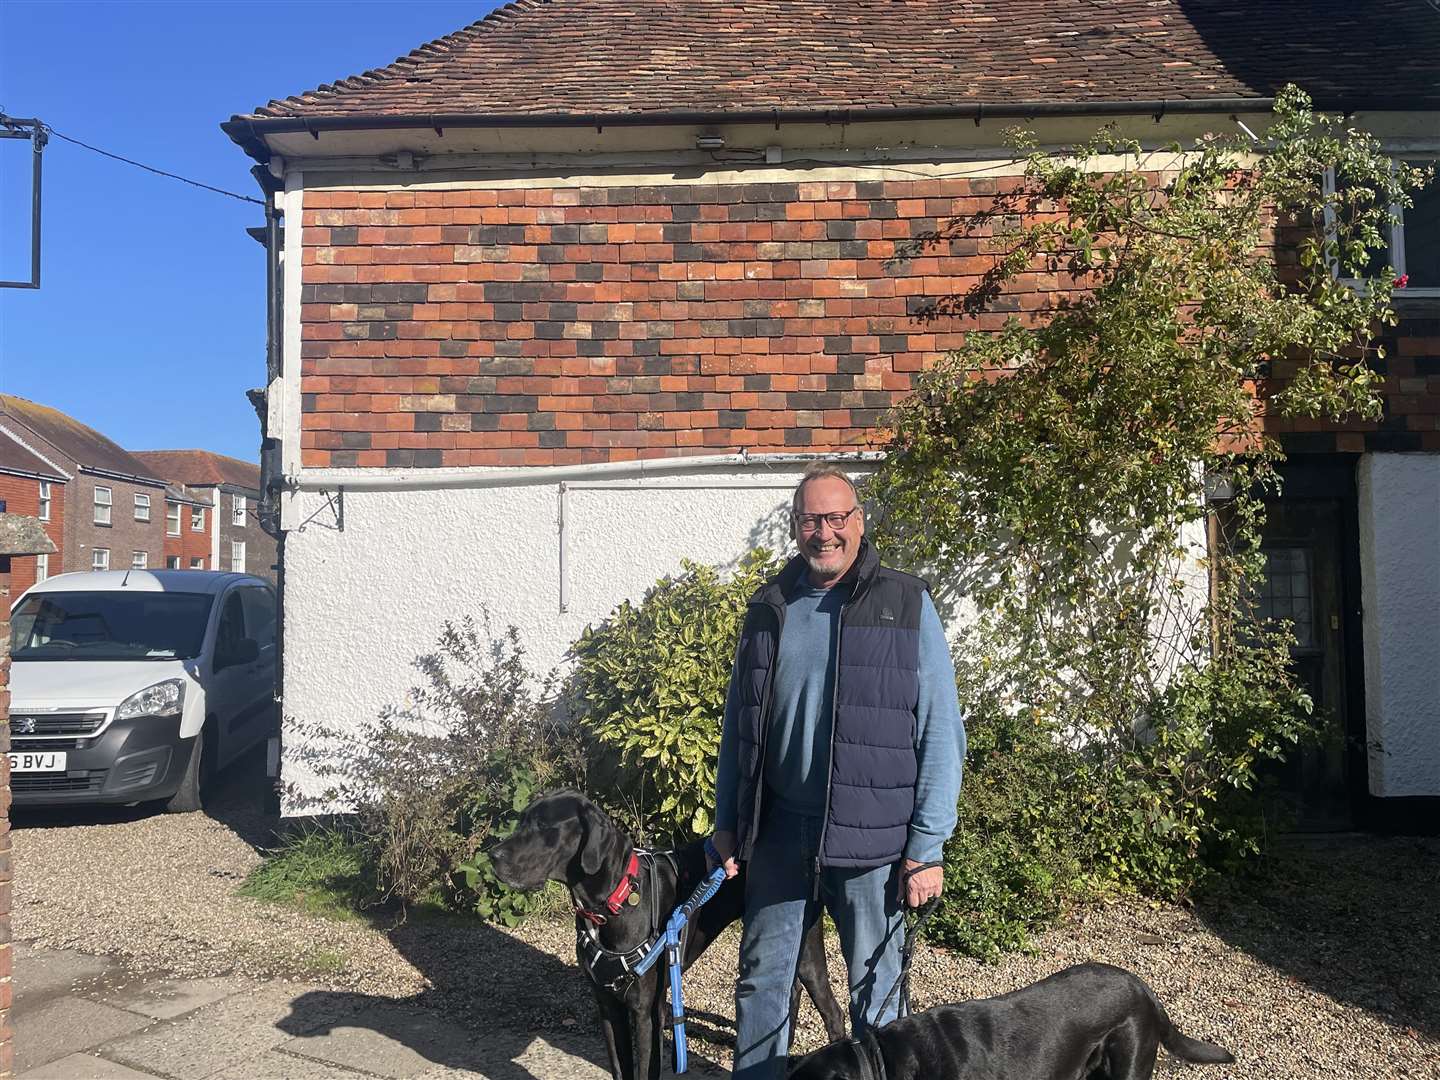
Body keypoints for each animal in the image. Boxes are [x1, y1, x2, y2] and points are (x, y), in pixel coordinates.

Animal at [489, 789, 846, 1080]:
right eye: (522, 821)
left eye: (543, 826)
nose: (493, 855)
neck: (612, 902)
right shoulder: (607, 1004)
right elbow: (620, 1067)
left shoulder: (647, 1010)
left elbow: (645, 1070)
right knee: (791, 991)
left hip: (808, 945)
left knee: (831, 1010)